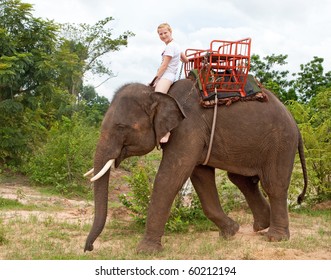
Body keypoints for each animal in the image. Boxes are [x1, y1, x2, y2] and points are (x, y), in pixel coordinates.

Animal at [83, 77, 308, 253]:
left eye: (121, 127)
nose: (89, 248)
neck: (158, 93)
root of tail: (296, 124)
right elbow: (201, 176)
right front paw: (230, 232)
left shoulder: (188, 127)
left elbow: (170, 177)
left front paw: (145, 251)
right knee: (242, 180)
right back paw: (261, 225)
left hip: (281, 143)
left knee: (274, 185)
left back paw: (275, 237)